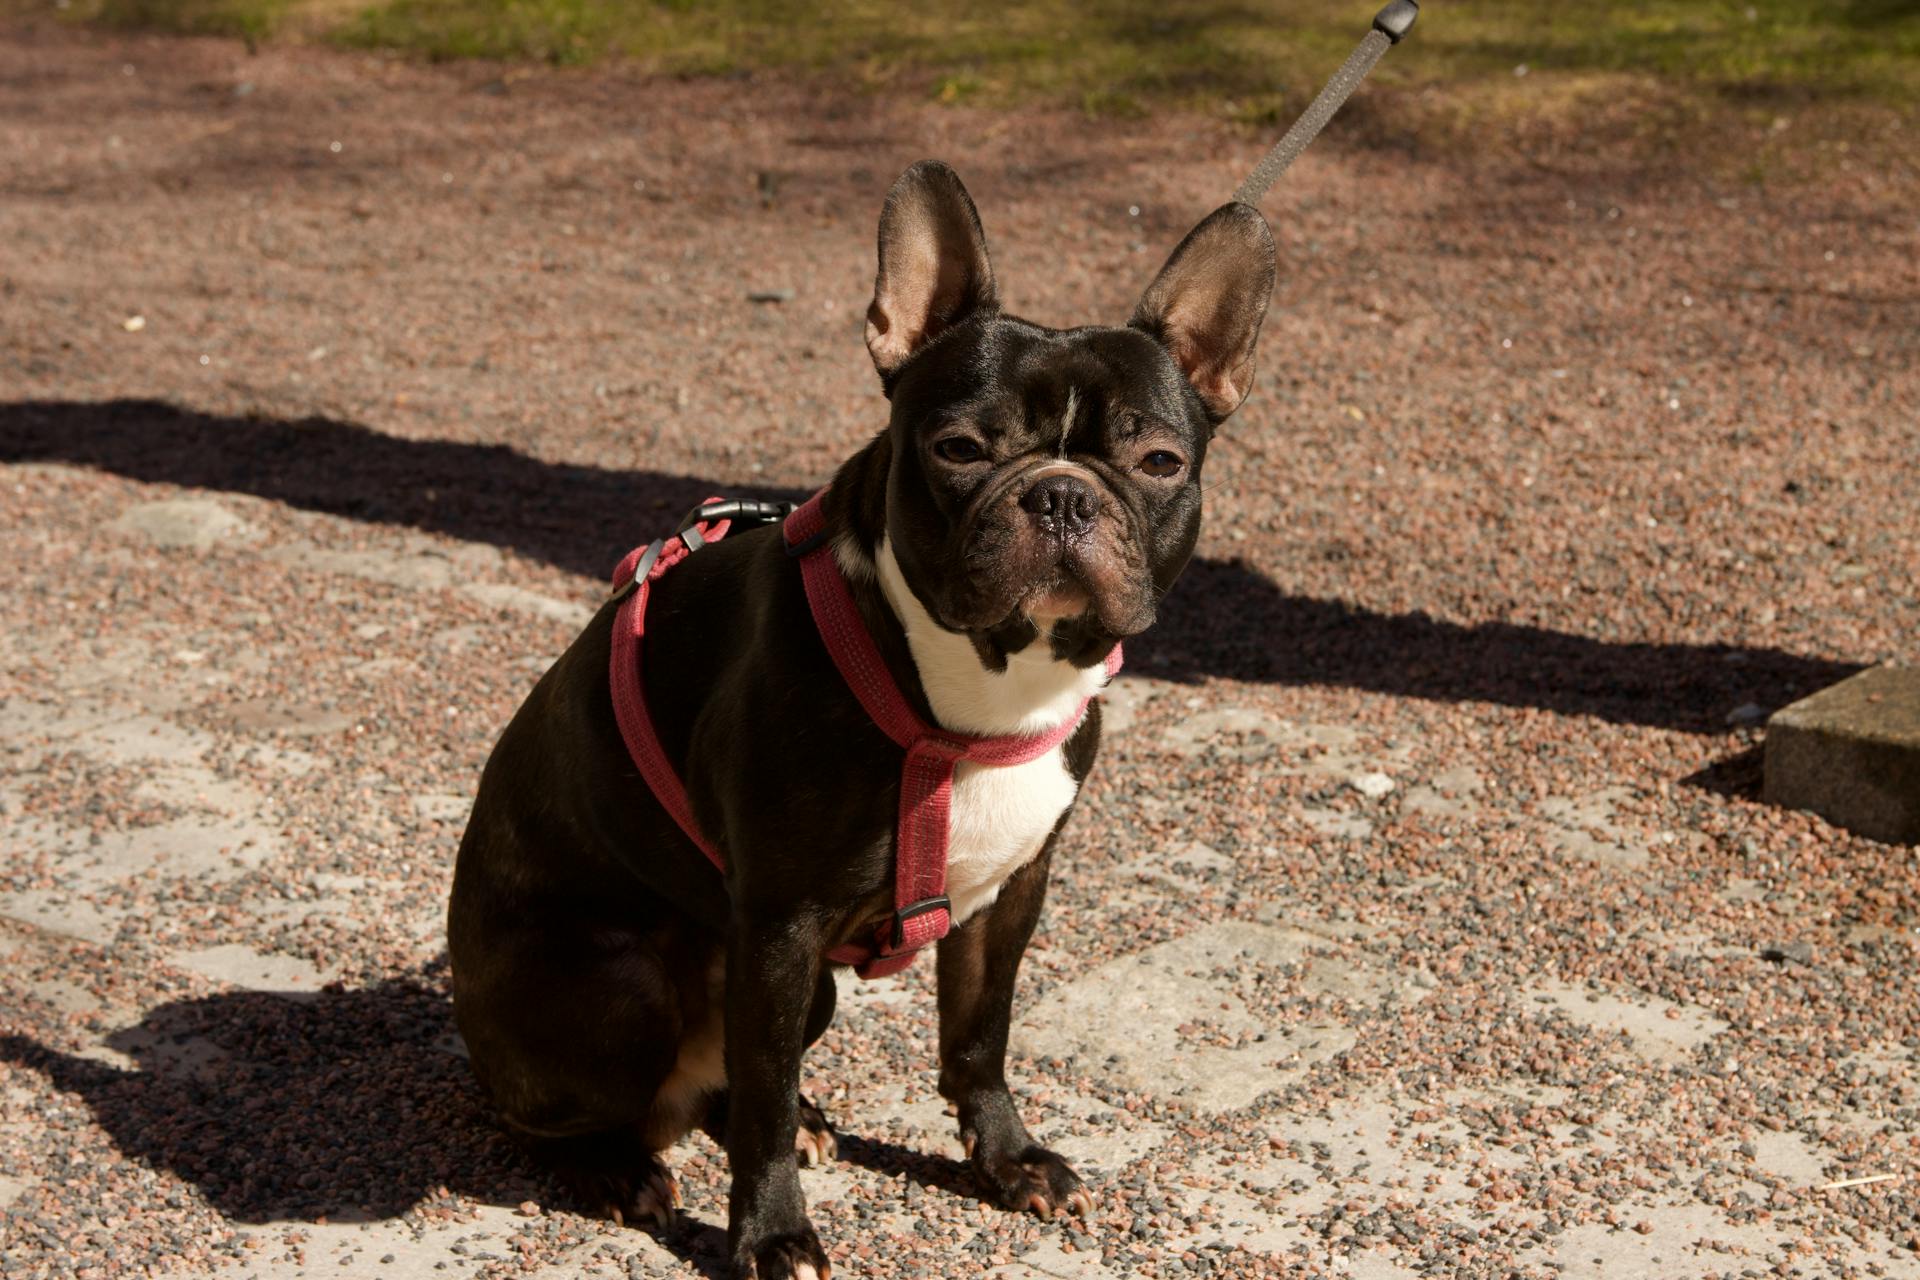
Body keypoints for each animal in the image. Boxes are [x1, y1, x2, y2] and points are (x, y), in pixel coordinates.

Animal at [449, 163, 1274, 1280]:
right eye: (959, 449)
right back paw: (619, 1169)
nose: (1062, 496)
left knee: (732, 1083)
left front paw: (1007, 1159)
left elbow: (977, 1034)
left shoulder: (1011, 894)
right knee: (563, 1112)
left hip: (807, 992)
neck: (980, 683)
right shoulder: (780, 924)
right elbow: (759, 1099)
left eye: (1158, 461)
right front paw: (772, 1233)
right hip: (624, 984)